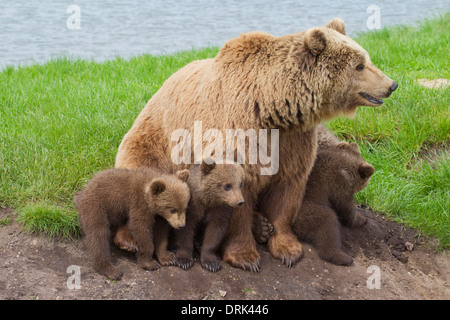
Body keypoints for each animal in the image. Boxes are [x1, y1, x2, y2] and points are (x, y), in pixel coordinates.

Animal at [114, 18, 396, 272]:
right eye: (359, 66)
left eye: (367, 58)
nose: (391, 85)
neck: (272, 107)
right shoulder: (239, 133)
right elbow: (238, 193)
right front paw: (246, 257)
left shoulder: (293, 141)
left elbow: (288, 189)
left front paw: (287, 248)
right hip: (153, 142)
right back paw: (128, 239)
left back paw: (262, 226)